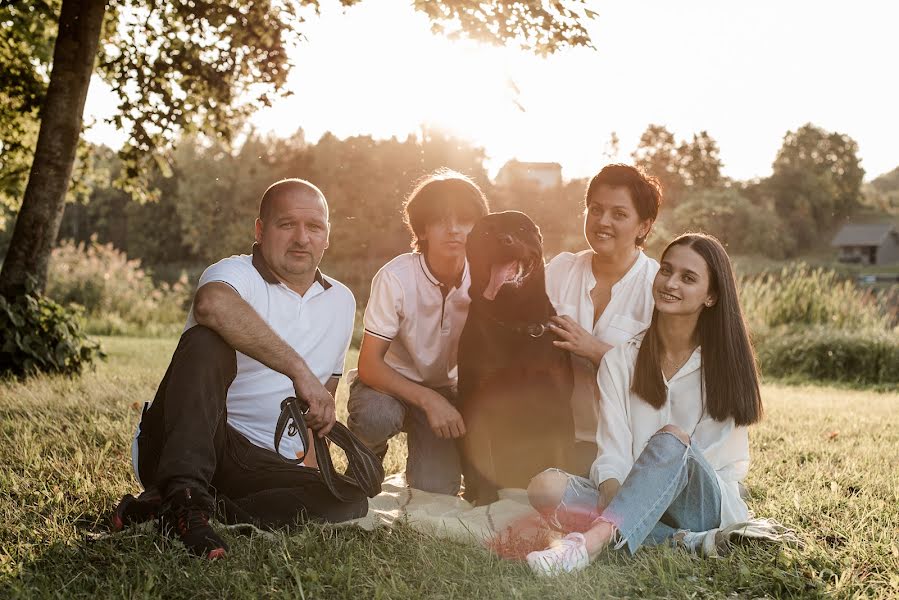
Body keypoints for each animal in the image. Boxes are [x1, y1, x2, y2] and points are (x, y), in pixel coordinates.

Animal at [458, 211, 576, 506]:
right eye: (486, 233)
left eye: (521, 229)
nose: (504, 240)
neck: (514, 317)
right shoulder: (478, 401)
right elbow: (483, 456)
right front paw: (486, 497)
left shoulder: (557, 401)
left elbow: (563, 456)